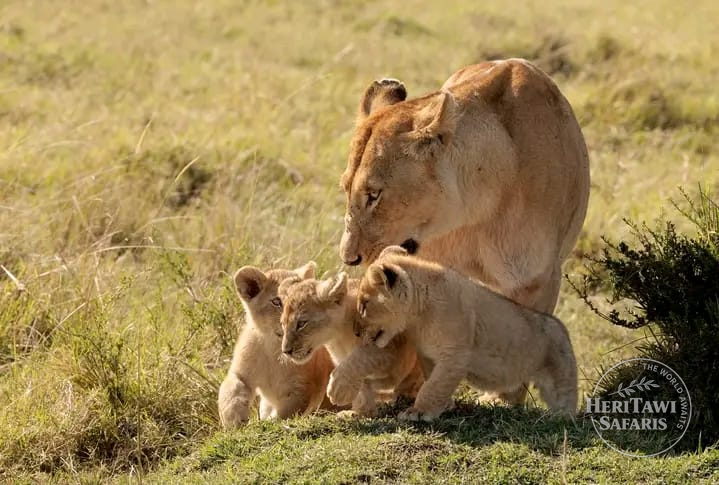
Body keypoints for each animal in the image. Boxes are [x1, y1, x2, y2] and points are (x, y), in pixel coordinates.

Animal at [218, 262, 335, 429]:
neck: (273, 348)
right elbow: (231, 390)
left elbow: (286, 413)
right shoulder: (241, 373)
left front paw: (269, 422)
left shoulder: (302, 387)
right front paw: (234, 421)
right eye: (276, 302)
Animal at [278, 271, 423, 416]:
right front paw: (360, 412)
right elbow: (362, 382)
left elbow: (361, 357)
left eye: (301, 324)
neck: (337, 336)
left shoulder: (391, 345)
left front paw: (339, 389)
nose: (286, 351)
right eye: (283, 324)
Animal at [339, 60, 589, 403]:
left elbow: (527, 339)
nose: (349, 258)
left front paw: (504, 401)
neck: (476, 211)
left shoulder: (537, 279)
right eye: (345, 188)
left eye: (374, 195)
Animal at [355, 246, 577, 422]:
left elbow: (433, 386)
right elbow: (432, 381)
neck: (418, 318)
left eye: (364, 305)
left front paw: (419, 412)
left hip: (560, 375)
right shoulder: (427, 354)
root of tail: (561, 326)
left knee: (566, 398)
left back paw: (563, 417)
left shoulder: (455, 354)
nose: (356, 333)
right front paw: (442, 405)